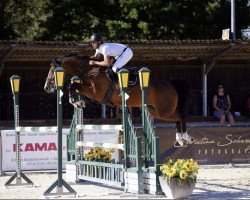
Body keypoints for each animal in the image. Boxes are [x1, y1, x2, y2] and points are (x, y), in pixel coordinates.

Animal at [44, 54, 190, 145]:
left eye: (53, 70)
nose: (46, 87)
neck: (89, 70)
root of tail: (170, 84)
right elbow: (73, 86)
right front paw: (78, 102)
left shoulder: (96, 93)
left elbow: (73, 86)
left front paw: (77, 102)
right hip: (154, 111)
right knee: (177, 118)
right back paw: (180, 139)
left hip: (164, 111)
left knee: (181, 116)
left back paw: (185, 137)